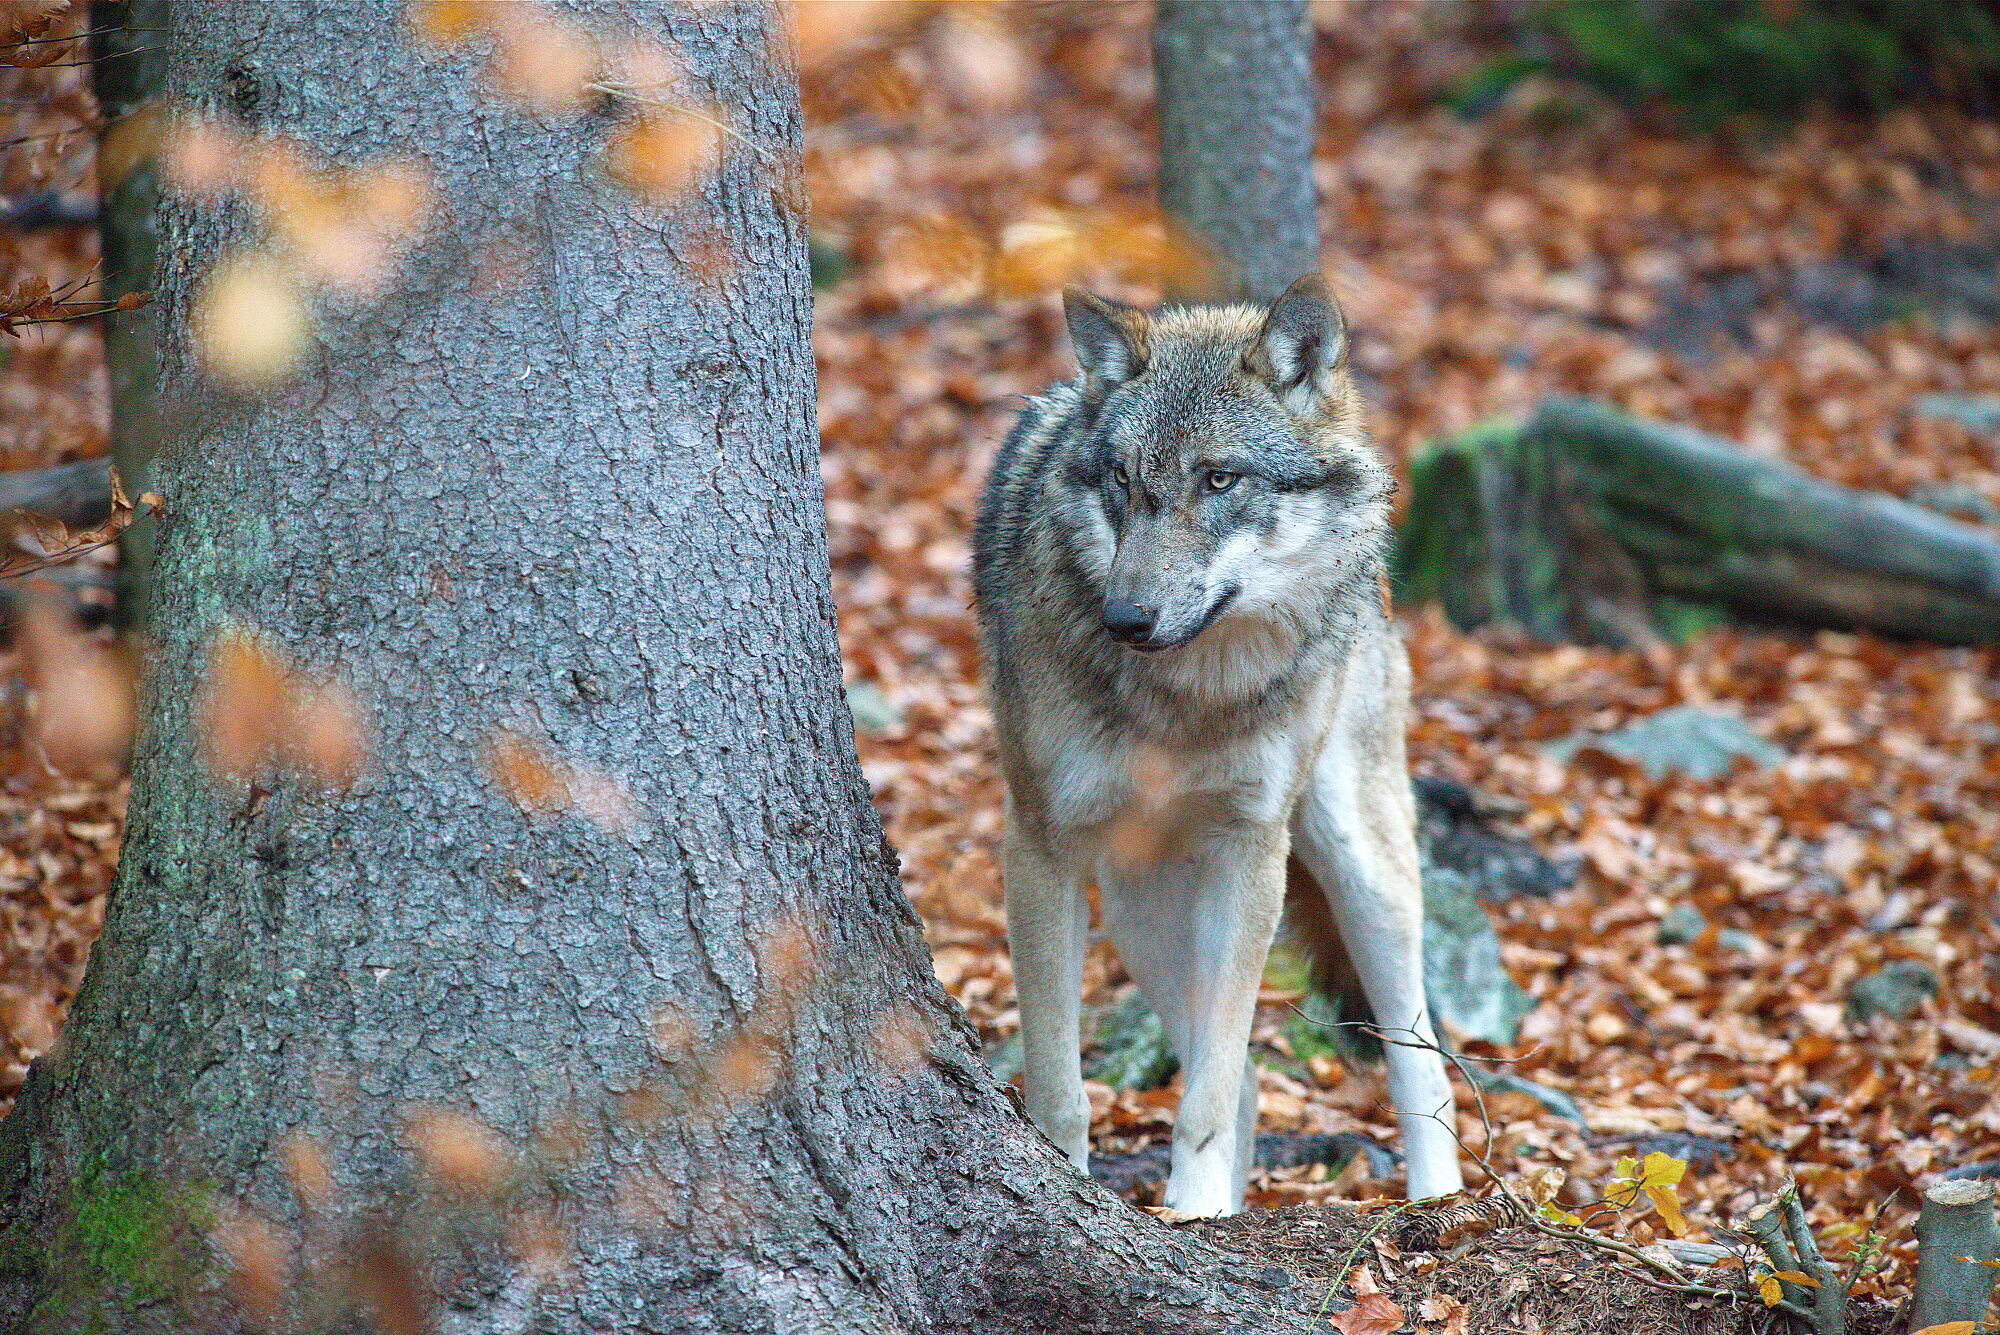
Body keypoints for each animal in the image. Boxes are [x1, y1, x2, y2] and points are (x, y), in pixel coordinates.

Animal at [972, 275, 1464, 1215]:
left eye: (1220, 477)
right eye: (1122, 480)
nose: (1125, 618)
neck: (1188, 700)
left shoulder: (1251, 848)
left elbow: (1206, 1089)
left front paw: (1192, 1210)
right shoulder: (1040, 845)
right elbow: (1063, 1086)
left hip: (1362, 870)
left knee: (1418, 1066)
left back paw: (1437, 1206)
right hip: (1141, 905)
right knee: (1246, 1084)